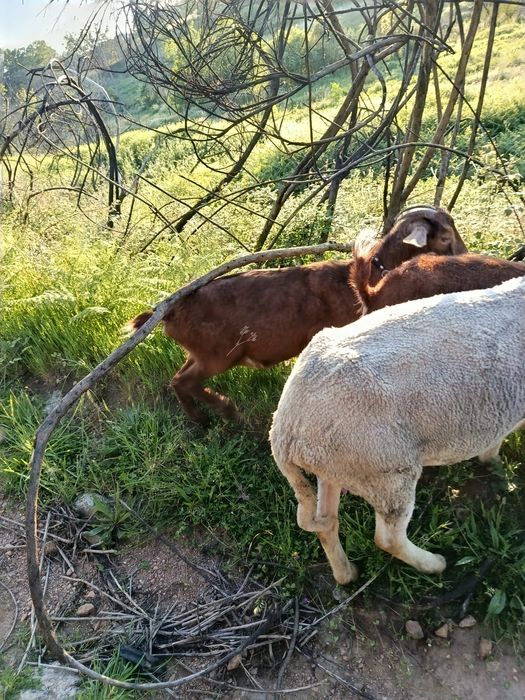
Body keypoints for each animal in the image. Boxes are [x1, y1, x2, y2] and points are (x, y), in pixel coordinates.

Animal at [128, 206, 466, 423]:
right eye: (445, 237)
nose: (466, 255)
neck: (368, 279)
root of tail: (170, 312)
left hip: (200, 352)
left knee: (178, 379)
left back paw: (200, 418)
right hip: (219, 355)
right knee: (183, 381)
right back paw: (224, 411)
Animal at [269, 276, 525, 584]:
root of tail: (284, 430)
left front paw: (492, 459)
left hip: (335, 464)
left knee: (326, 522)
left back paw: (346, 574)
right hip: (384, 469)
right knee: (388, 538)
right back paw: (434, 564)